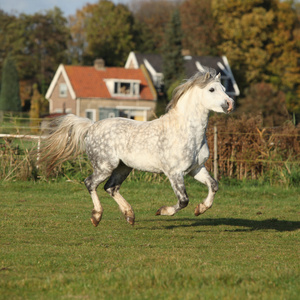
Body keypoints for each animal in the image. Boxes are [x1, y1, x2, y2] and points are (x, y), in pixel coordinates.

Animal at [39, 68, 236, 226]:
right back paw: (97, 216)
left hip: (123, 167)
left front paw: (200, 209)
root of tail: (92, 125)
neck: (186, 131)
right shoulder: (174, 173)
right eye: (212, 89)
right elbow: (183, 201)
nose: (230, 104)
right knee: (90, 183)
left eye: (224, 88)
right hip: (105, 166)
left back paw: (130, 215)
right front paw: (162, 211)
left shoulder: (196, 169)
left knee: (110, 188)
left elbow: (213, 185)